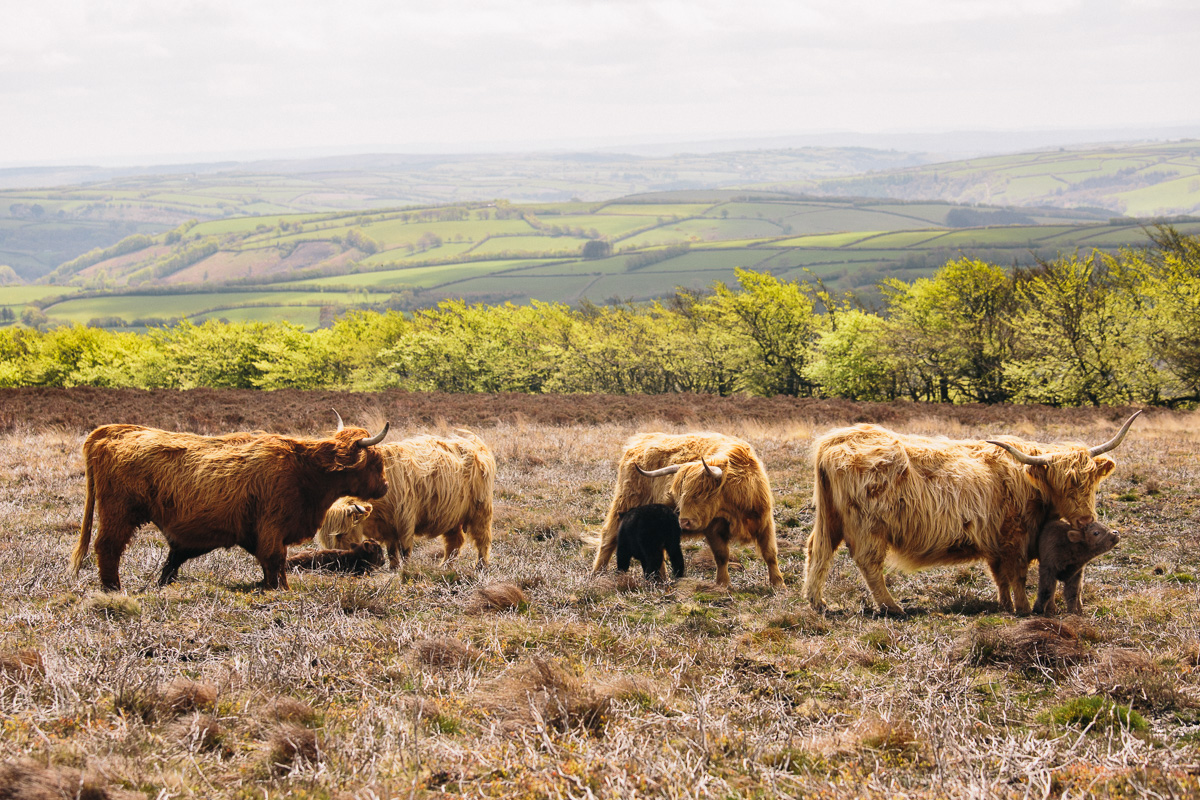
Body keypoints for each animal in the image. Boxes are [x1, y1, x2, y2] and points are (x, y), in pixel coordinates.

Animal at [72, 417, 388, 592]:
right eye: (375, 461)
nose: (384, 487)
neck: (306, 469)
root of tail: (114, 431)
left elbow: (271, 563)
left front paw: (276, 586)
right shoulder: (272, 526)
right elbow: (275, 559)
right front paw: (280, 590)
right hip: (118, 514)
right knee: (108, 547)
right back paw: (113, 589)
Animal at [319, 424, 496, 568]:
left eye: (341, 534)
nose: (335, 557)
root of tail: (476, 446)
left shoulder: (405, 519)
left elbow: (405, 550)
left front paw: (406, 570)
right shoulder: (387, 527)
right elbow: (391, 551)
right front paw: (394, 568)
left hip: (481, 511)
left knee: (482, 539)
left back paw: (481, 566)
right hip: (452, 514)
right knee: (454, 542)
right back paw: (444, 566)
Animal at [592, 431, 782, 587]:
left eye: (704, 494)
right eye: (680, 495)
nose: (684, 522)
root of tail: (638, 442)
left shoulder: (765, 521)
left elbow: (770, 553)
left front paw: (778, 584)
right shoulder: (712, 528)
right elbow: (722, 555)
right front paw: (723, 584)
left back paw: (661, 580)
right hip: (625, 502)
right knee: (609, 536)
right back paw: (598, 574)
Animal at [801, 410, 1137, 618]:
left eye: (1091, 481)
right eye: (1062, 484)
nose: (1085, 520)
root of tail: (837, 438)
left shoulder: (995, 542)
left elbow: (1000, 576)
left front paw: (1004, 605)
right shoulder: (1015, 537)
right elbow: (1017, 575)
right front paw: (1023, 609)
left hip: (831, 519)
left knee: (818, 550)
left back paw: (818, 603)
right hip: (869, 526)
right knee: (868, 564)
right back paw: (893, 608)